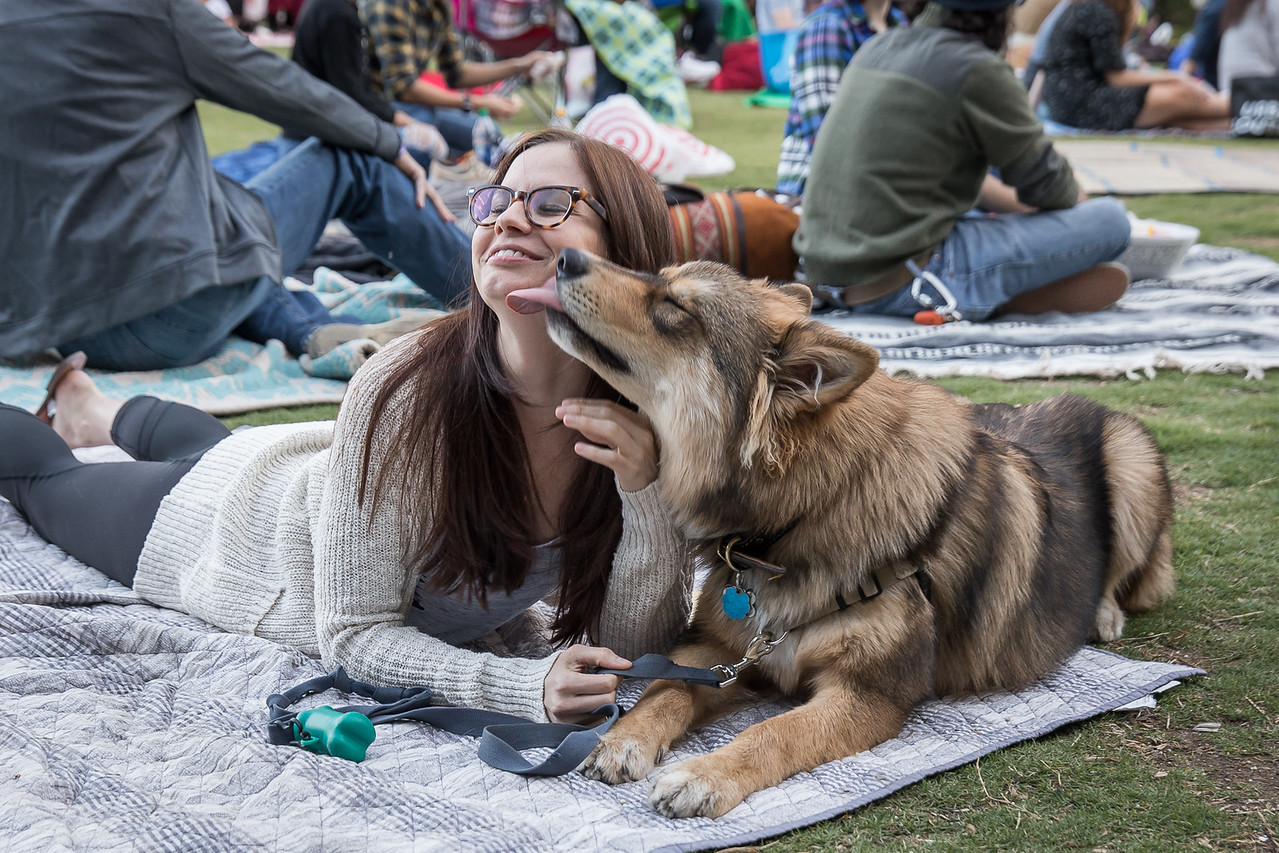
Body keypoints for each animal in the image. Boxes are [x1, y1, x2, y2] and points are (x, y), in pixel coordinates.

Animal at [514, 251, 1171, 818]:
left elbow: (777, 730)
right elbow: (665, 688)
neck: (804, 513)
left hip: (1131, 457)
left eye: (676, 307)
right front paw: (621, 739)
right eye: (663, 277)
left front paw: (705, 774)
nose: (566, 257)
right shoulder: (720, 649)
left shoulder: (869, 693)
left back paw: (1104, 614)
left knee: (1131, 573)